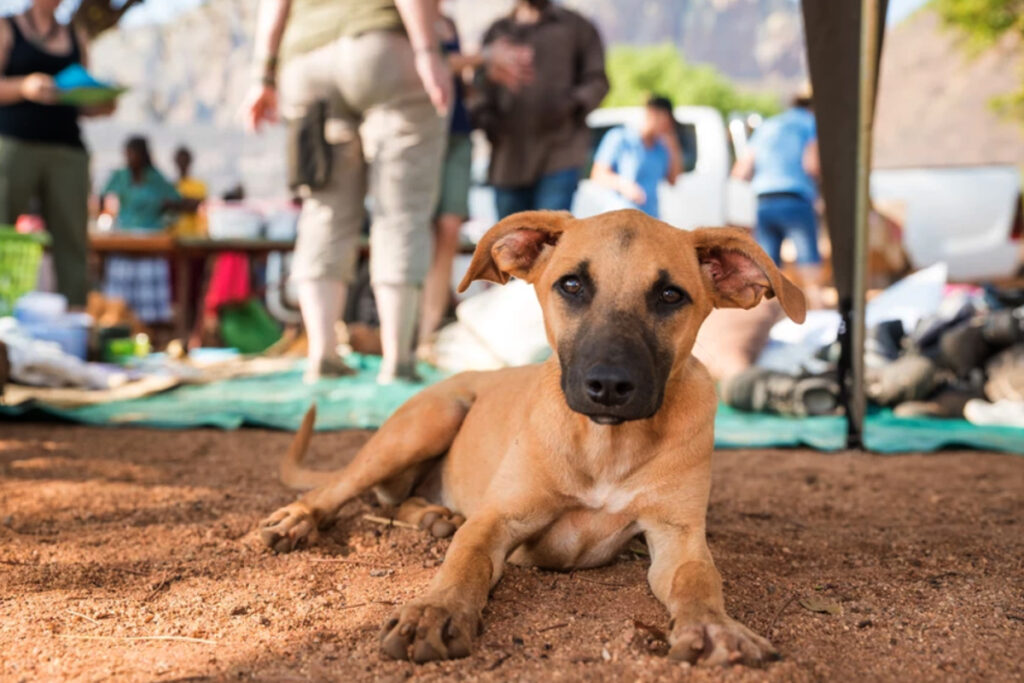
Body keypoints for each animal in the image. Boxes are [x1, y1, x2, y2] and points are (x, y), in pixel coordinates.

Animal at [260, 209, 802, 667]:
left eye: (670, 296)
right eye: (572, 284)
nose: (609, 385)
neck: (607, 446)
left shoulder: (678, 536)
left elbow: (699, 581)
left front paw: (713, 627)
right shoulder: (498, 519)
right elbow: (465, 562)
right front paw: (436, 611)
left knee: (398, 502)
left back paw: (435, 515)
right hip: (429, 420)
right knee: (339, 489)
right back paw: (299, 519)